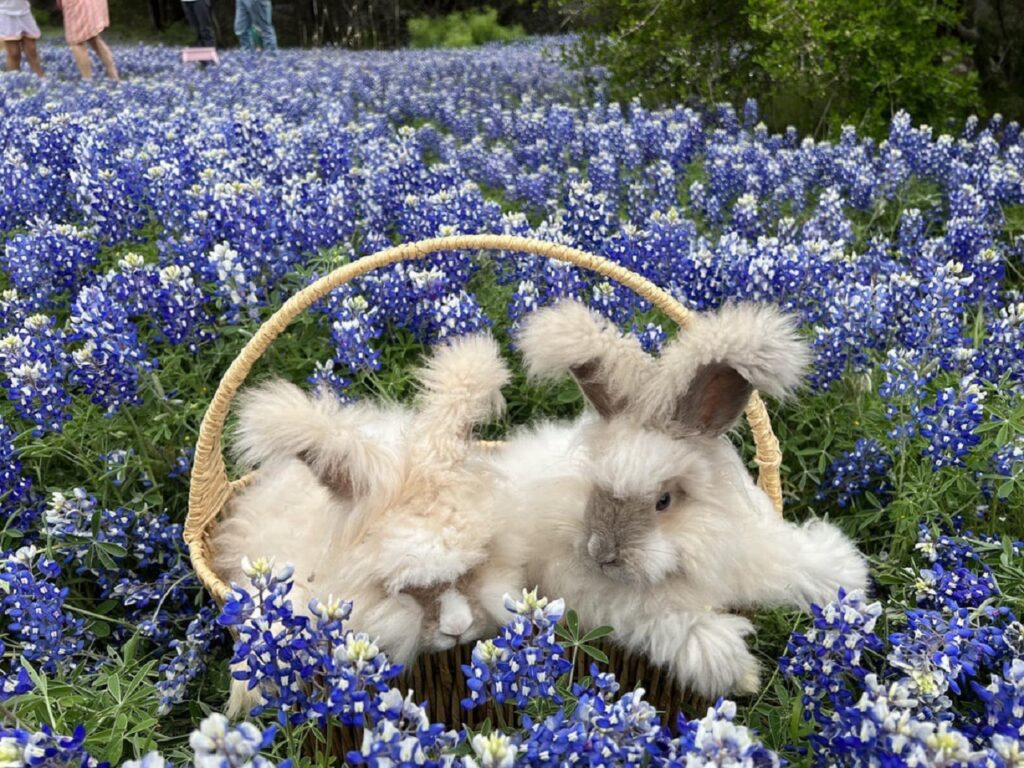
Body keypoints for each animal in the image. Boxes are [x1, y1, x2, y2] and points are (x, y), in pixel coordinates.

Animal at [486, 299, 869, 701]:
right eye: (597, 491)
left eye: (664, 501)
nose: (602, 553)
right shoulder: (627, 607)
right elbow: (688, 627)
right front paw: (742, 674)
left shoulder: (754, 551)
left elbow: (794, 562)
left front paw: (848, 577)